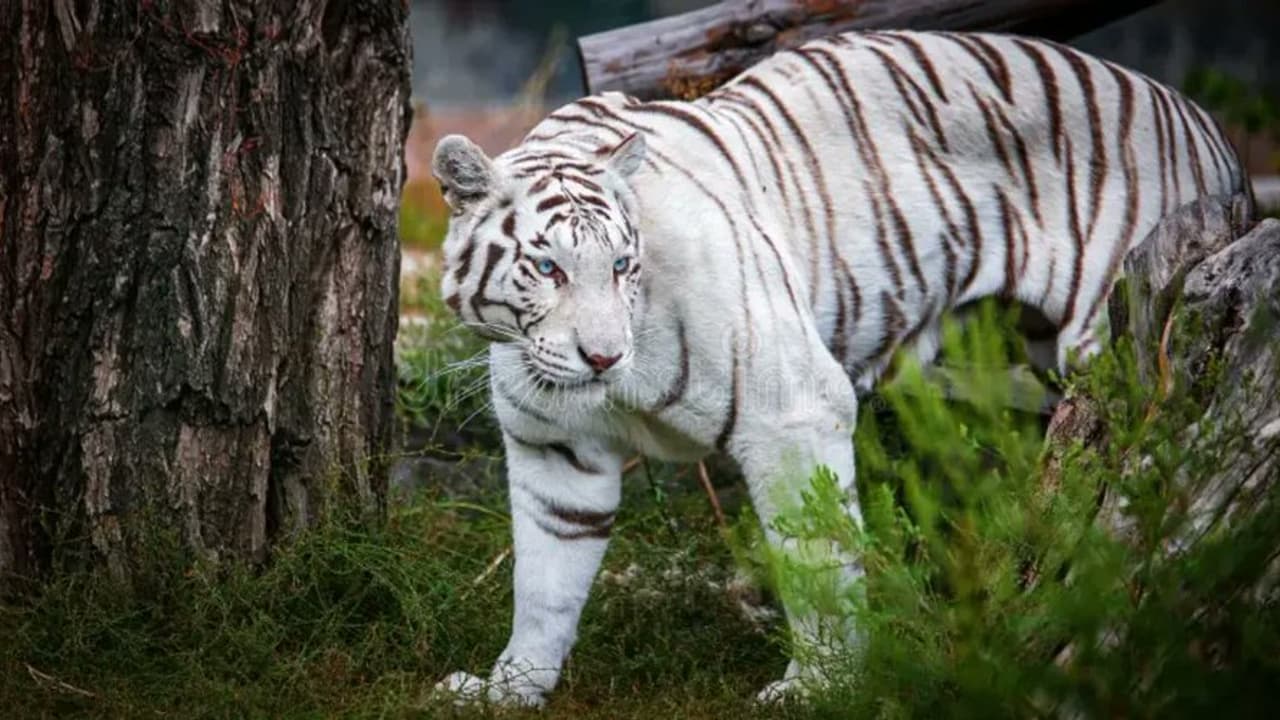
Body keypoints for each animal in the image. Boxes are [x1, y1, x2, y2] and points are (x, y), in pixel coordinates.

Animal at [428, 30, 1249, 707]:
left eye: (622, 265)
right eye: (549, 268)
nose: (604, 356)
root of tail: (1211, 129)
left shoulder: (793, 409)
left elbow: (814, 559)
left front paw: (818, 684)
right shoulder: (554, 451)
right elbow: (544, 582)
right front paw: (511, 687)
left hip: (1117, 343)